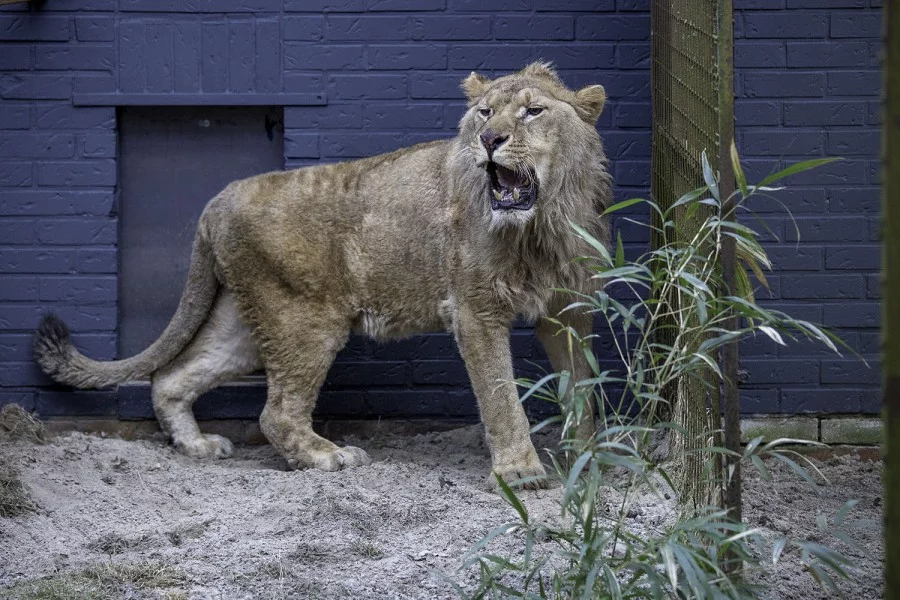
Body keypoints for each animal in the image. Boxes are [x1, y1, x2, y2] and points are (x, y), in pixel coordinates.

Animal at [35, 63, 612, 490]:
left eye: (534, 111)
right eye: (484, 113)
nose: (490, 139)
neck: (540, 225)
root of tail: (219, 199)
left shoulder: (567, 309)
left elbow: (582, 386)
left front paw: (590, 458)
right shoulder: (474, 310)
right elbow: (500, 395)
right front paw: (521, 473)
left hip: (247, 324)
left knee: (173, 378)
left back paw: (198, 446)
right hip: (304, 320)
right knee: (276, 413)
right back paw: (327, 457)